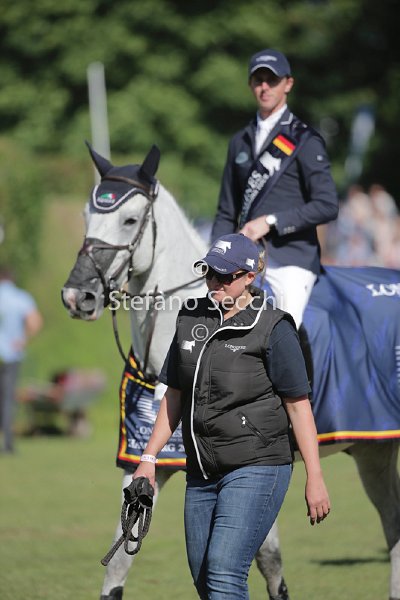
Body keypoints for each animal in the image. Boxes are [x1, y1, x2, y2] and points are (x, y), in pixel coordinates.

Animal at [62, 144, 400, 600]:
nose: (77, 296)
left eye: (130, 220)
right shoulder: (148, 465)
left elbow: (265, 559)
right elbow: (118, 562)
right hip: (373, 450)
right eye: (86, 216)